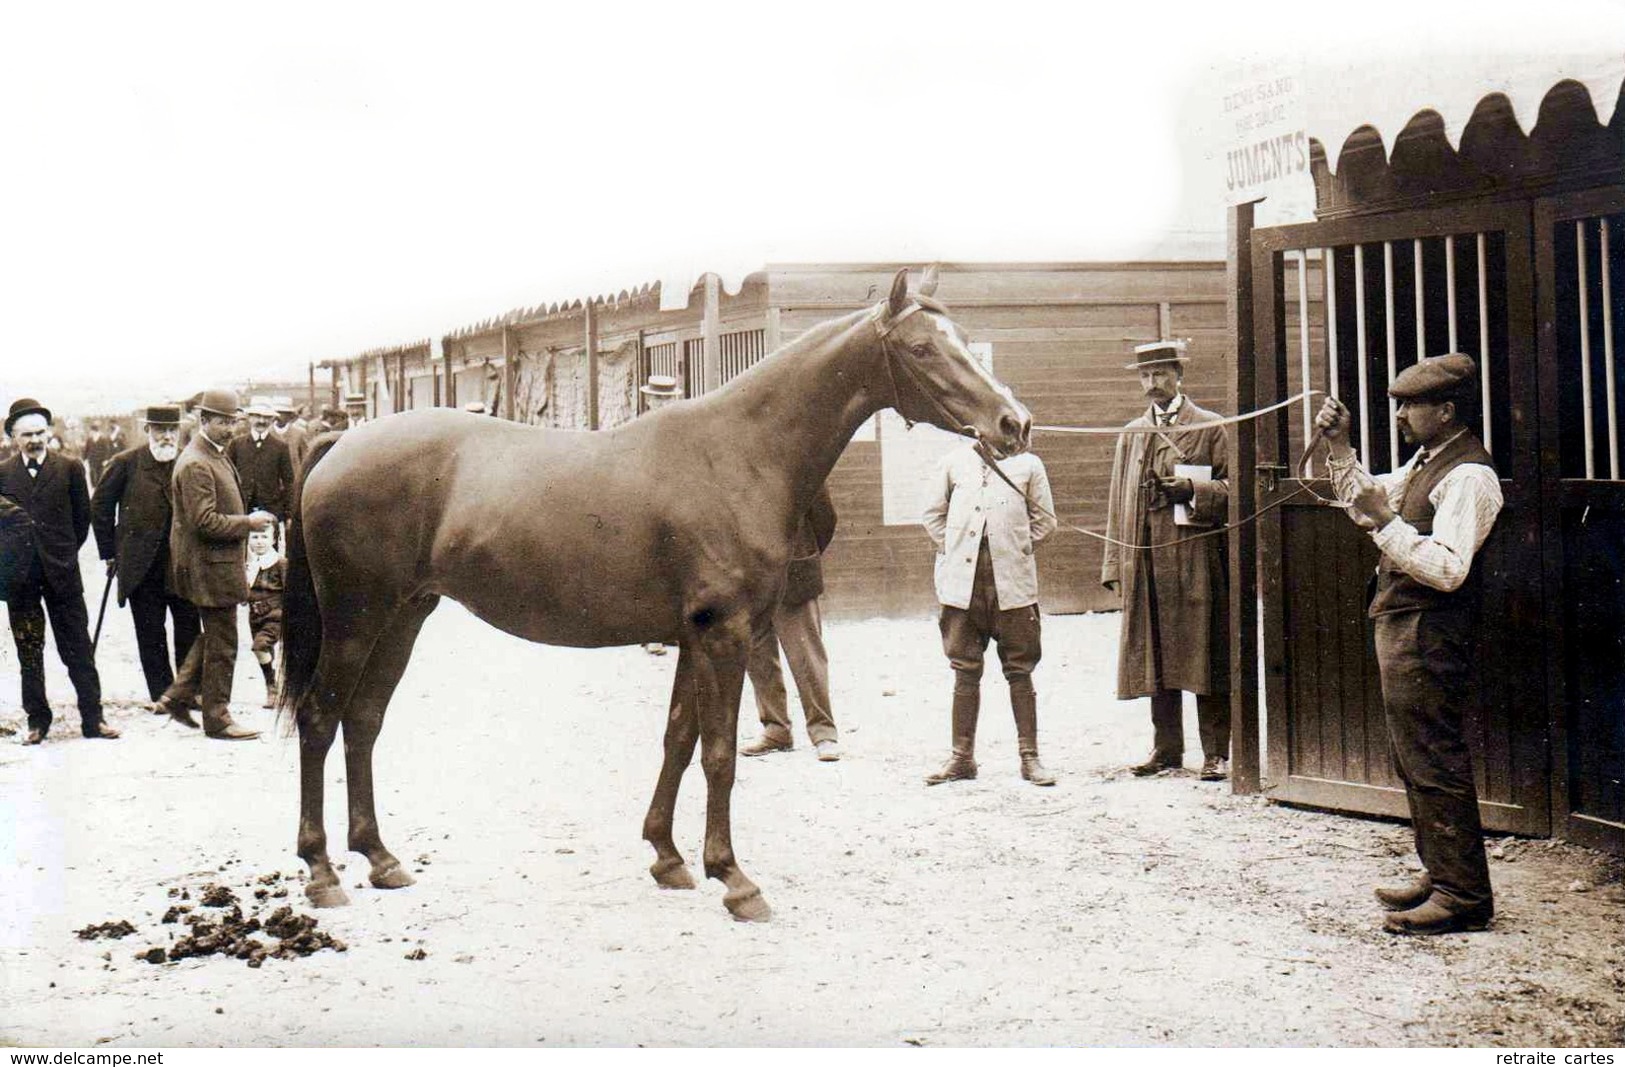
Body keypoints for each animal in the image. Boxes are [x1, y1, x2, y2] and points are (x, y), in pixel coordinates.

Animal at [282, 266, 1027, 915]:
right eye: (923, 348)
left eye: (963, 337)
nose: (1013, 424)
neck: (738, 454)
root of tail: (337, 446)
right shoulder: (724, 633)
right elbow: (720, 755)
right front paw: (735, 879)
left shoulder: (692, 637)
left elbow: (678, 739)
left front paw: (668, 857)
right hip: (356, 619)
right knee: (320, 718)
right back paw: (321, 872)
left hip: (403, 616)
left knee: (363, 720)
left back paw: (380, 858)